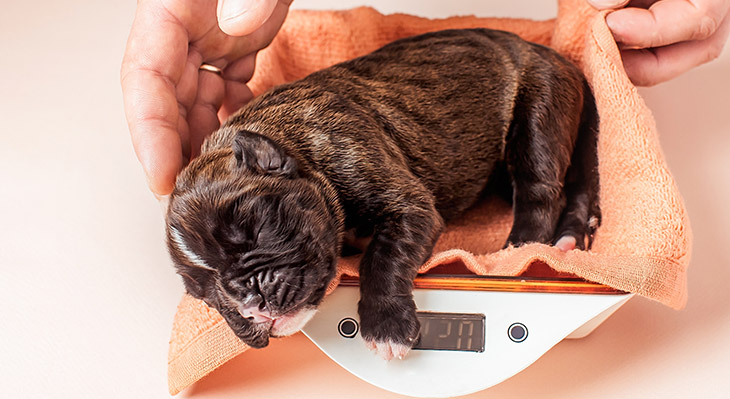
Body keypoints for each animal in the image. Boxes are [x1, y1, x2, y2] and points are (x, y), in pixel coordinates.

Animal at [165, 27, 596, 360]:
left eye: (255, 230)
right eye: (202, 292)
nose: (249, 304)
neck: (292, 140)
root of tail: (551, 54)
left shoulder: (407, 205)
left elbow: (383, 257)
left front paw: (386, 325)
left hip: (539, 112)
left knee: (541, 192)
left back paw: (520, 248)